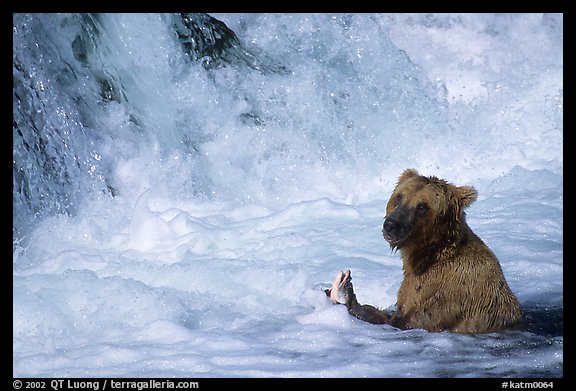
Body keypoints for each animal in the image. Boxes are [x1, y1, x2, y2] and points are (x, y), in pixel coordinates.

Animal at [328, 168, 520, 334]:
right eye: (399, 196)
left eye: (422, 206)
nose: (391, 224)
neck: (428, 254)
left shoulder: (447, 293)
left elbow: (405, 321)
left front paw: (358, 306)